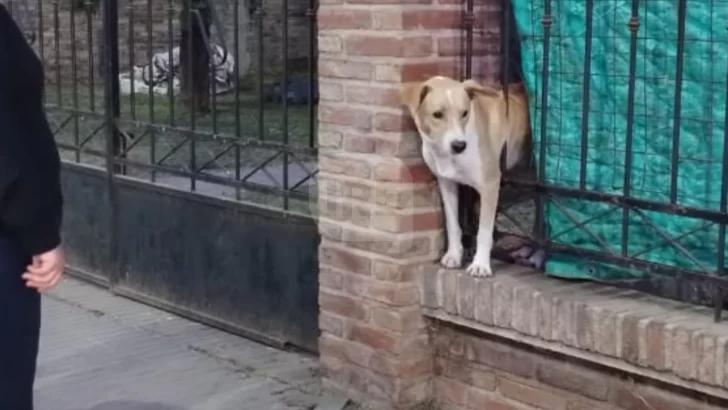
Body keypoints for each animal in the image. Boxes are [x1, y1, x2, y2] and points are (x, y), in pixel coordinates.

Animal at [398, 75, 540, 278]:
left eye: (464, 113)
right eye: (437, 114)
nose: (459, 145)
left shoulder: (490, 185)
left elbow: (483, 232)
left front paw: (480, 264)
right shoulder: (447, 183)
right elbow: (452, 224)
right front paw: (453, 255)